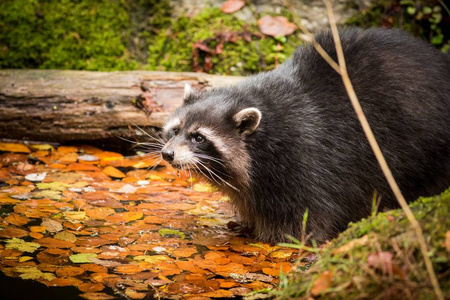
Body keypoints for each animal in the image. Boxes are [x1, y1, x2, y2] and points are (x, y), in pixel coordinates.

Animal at [159, 28, 450, 244]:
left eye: (199, 137)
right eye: (176, 130)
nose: (167, 153)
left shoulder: (305, 158)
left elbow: (306, 215)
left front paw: (285, 238)